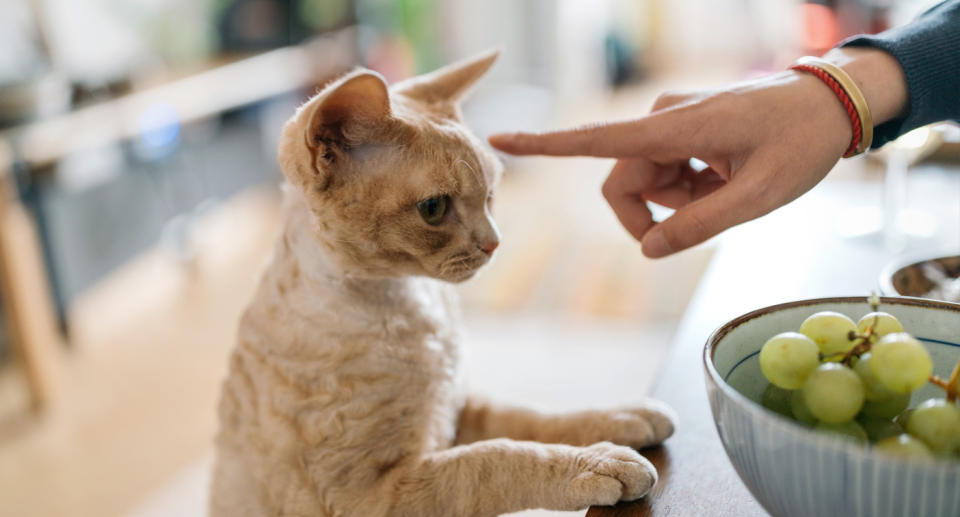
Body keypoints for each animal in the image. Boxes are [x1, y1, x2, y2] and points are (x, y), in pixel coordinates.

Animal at [210, 49, 676, 516]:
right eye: (433, 208)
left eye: (491, 195)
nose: (495, 243)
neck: (410, 306)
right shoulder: (372, 495)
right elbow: (493, 459)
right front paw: (597, 462)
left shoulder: (459, 408)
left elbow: (533, 418)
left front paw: (620, 417)